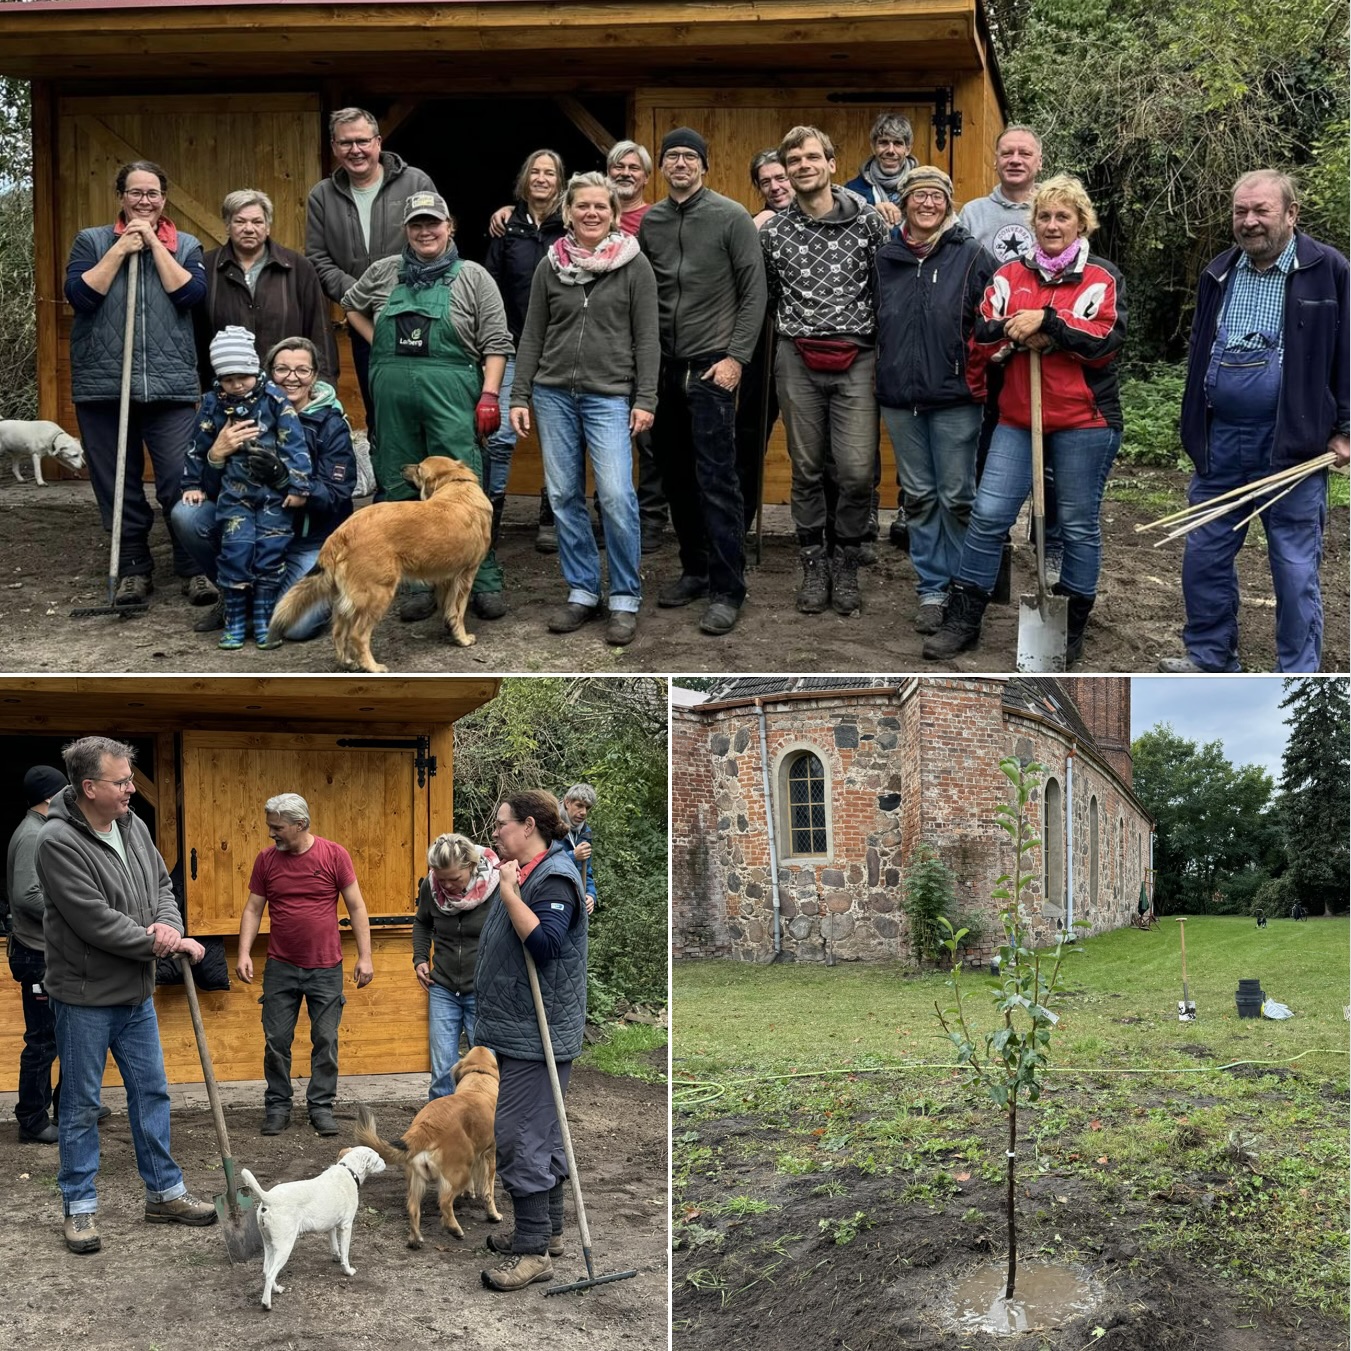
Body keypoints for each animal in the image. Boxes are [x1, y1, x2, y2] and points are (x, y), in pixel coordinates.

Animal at [237, 1140, 383, 1307]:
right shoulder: (346, 1226)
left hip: (269, 1244)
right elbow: (345, 1254)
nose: (385, 1162)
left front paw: (336, 1257)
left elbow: (335, 1247)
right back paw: (266, 1303)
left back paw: (277, 1289)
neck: (348, 1170)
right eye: (378, 1157)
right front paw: (347, 1271)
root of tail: (269, 1198)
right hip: (285, 1246)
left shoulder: (331, 1227)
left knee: (266, 1270)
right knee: (270, 1274)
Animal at [267, 456, 491, 675]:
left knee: (338, 633)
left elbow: (448, 609)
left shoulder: (446, 578)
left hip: (347, 601)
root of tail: (341, 533)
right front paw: (462, 639)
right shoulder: (466, 576)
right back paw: (372, 667)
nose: (401, 467)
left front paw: (450, 630)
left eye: (418, 468)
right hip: (378, 595)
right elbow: (458, 612)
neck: (456, 483)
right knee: (357, 635)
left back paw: (348, 663)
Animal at [356, 1042, 505, 1242]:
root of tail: (426, 1126)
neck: (479, 1076)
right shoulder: (489, 1156)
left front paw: (470, 1193)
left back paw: (416, 1239)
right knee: (444, 1202)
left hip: (417, 1177)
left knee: (412, 1207)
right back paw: (454, 1228)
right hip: (460, 1171)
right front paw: (493, 1215)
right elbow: (488, 1192)